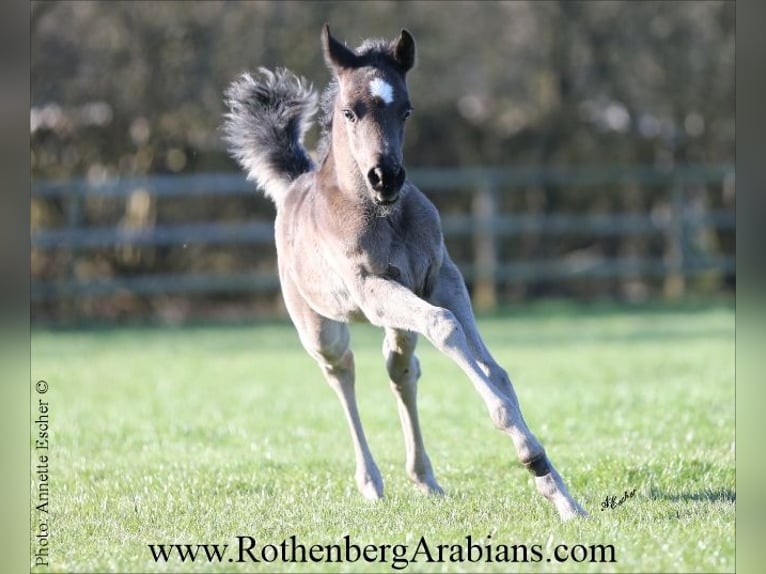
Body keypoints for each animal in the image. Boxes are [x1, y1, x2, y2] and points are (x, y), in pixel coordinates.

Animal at [223, 25, 587, 520]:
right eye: (349, 111)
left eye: (406, 109)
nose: (386, 177)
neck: (384, 216)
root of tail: (293, 185)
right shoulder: (373, 290)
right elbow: (445, 327)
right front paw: (532, 459)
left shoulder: (441, 278)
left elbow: (493, 369)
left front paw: (557, 489)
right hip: (320, 326)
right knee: (342, 372)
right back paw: (371, 482)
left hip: (399, 314)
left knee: (400, 368)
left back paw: (424, 478)